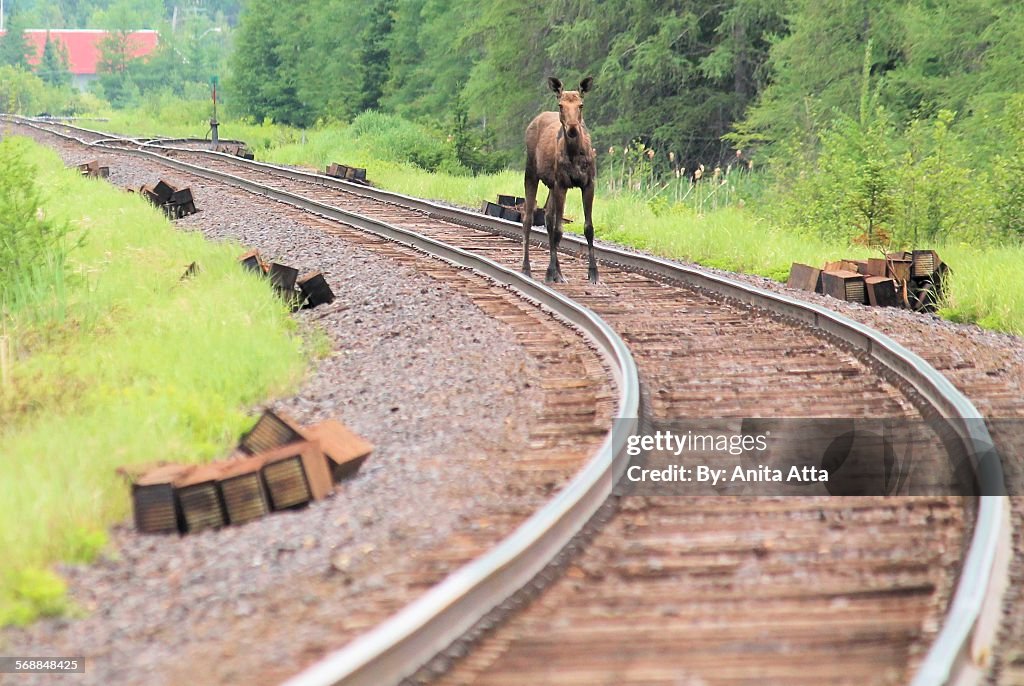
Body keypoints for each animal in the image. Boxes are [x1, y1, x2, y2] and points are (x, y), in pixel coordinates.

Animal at [524, 77, 598, 284]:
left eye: (581, 105)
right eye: (561, 105)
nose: (572, 129)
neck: (574, 153)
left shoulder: (589, 183)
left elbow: (588, 228)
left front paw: (593, 273)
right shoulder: (561, 184)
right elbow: (559, 230)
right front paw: (549, 272)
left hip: (550, 184)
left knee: (548, 219)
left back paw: (560, 272)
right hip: (531, 172)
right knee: (528, 218)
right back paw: (527, 269)